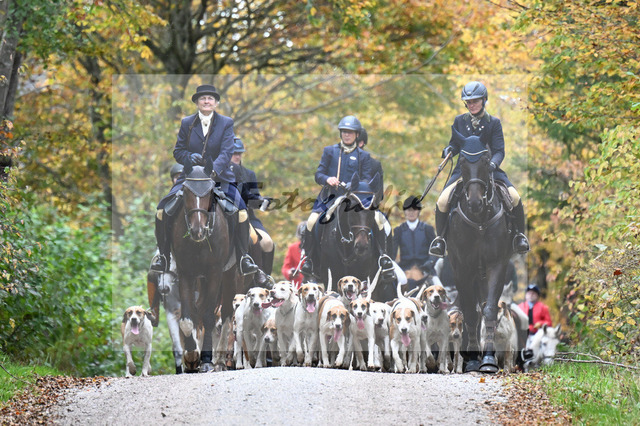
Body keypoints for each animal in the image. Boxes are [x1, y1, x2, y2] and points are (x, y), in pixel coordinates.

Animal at [170, 165, 239, 372]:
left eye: (209, 193)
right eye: (186, 192)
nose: (197, 231)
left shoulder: (215, 273)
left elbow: (209, 317)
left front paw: (207, 360)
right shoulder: (186, 273)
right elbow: (187, 319)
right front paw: (192, 355)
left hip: (228, 275)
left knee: (226, 312)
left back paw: (220, 360)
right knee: (198, 309)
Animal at [445, 129, 514, 373]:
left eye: (485, 161)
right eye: (462, 162)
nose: (475, 203)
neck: (479, 220)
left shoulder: (497, 265)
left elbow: (490, 310)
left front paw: (488, 360)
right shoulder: (461, 268)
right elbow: (469, 312)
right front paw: (474, 360)